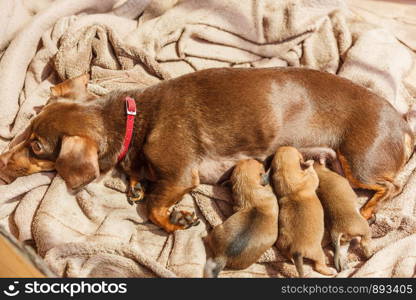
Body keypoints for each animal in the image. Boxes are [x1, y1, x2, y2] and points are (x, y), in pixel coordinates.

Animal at [0, 68, 412, 232]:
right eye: (26, 128)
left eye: (36, 147)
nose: (1, 163)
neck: (135, 120)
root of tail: (405, 125)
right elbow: (141, 182)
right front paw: (135, 183)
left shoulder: (182, 175)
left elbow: (154, 209)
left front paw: (176, 221)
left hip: (359, 163)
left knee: (391, 187)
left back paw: (369, 210)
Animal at [272, 146, 334, 278]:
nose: (284, 146)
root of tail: (297, 250)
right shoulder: (311, 179)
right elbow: (313, 175)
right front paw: (310, 164)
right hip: (318, 252)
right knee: (318, 265)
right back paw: (329, 271)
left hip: (282, 244)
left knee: (284, 252)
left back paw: (290, 259)